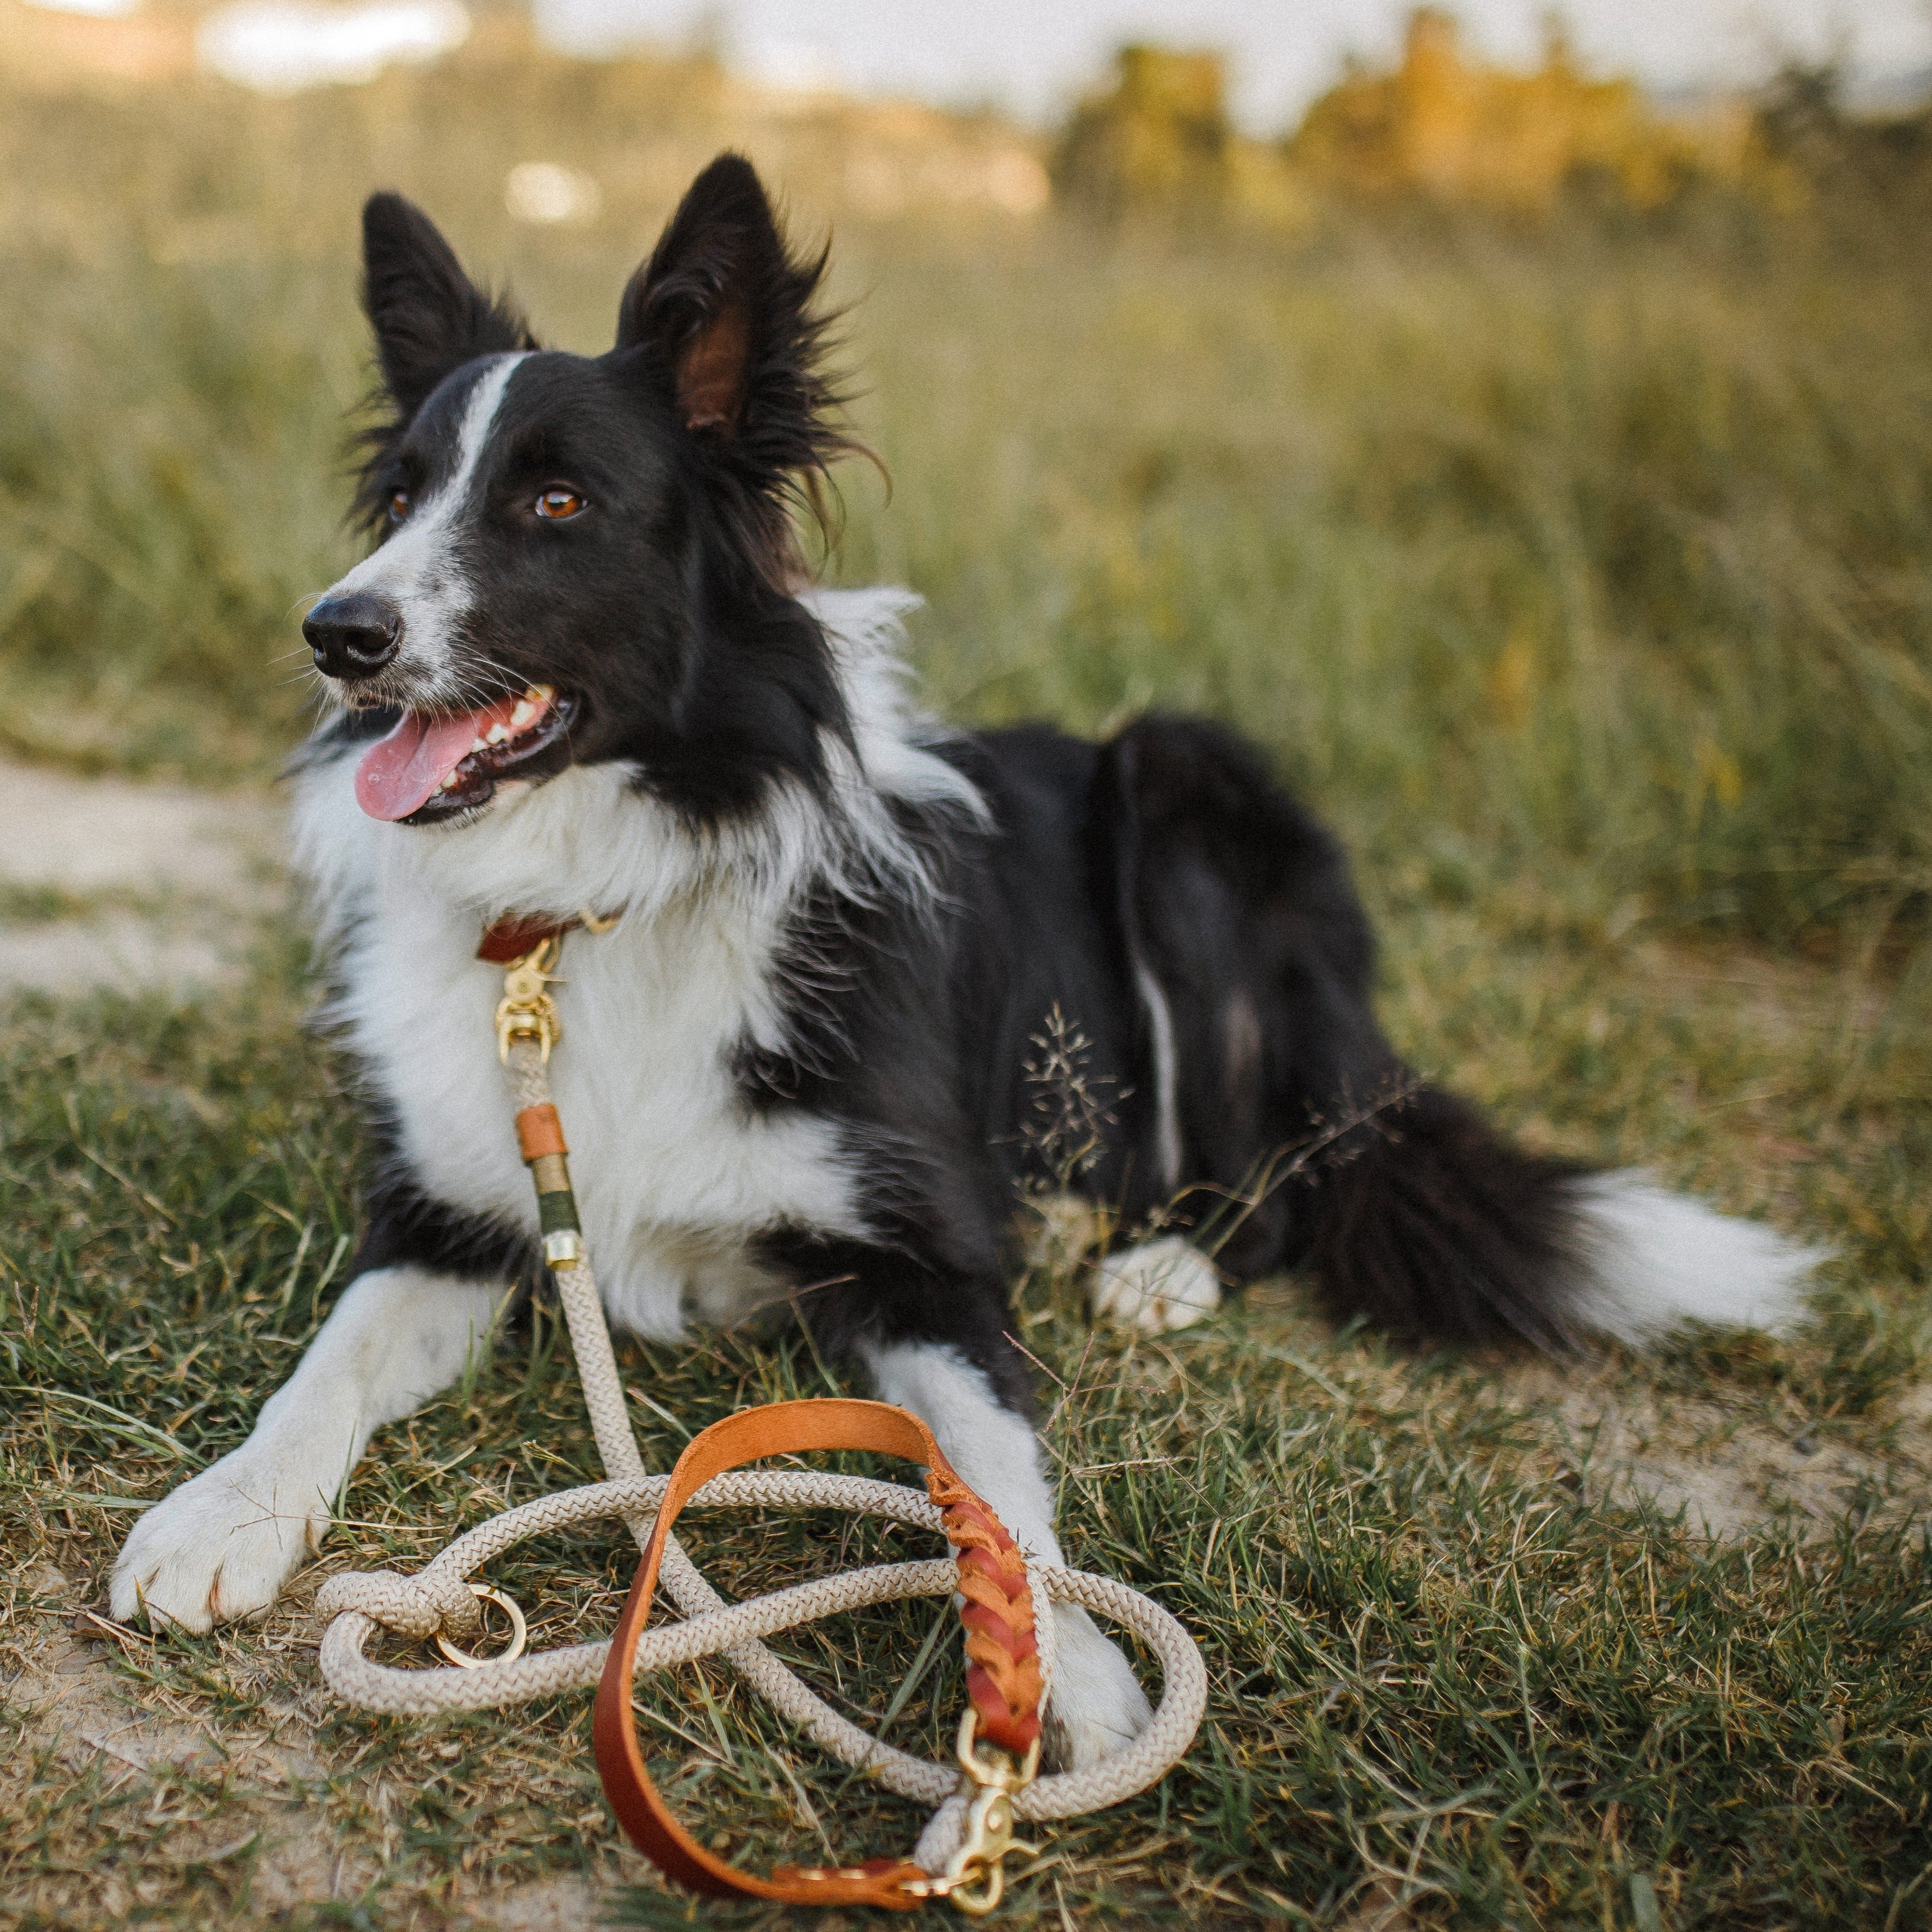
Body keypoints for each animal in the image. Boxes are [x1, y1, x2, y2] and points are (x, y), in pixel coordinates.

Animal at [113, 154, 1816, 1769]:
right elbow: (324, 1359)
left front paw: (1063, 1669)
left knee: (1271, 1175)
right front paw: (218, 1513)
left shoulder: (925, 1260)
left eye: (555, 506)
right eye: (400, 496)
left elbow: (993, 1482)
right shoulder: (458, 1215)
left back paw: (1156, 1262)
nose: (335, 631)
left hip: (1181, 789)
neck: (604, 894)